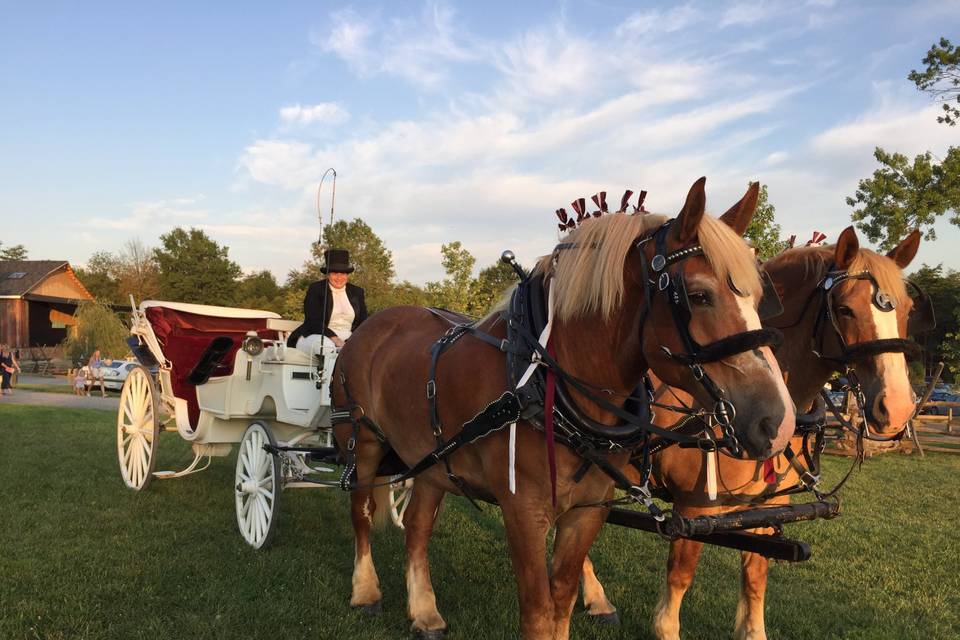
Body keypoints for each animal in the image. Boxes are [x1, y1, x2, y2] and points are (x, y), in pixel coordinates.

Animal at [328, 176, 796, 640]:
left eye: (758, 298)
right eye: (698, 295)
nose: (778, 421)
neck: (544, 380)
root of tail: (374, 324)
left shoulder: (587, 511)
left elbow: (563, 601)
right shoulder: (524, 511)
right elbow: (538, 612)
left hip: (432, 462)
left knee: (418, 527)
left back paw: (425, 613)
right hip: (361, 444)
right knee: (361, 512)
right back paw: (365, 591)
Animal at [576, 225, 924, 640]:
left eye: (907, 311)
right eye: (844, 309)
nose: (898, 407)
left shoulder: (768, 508)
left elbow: (756, 575)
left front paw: (752, 630)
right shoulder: (694, 507)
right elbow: (680, 575)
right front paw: (665, 627)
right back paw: (597, 598)